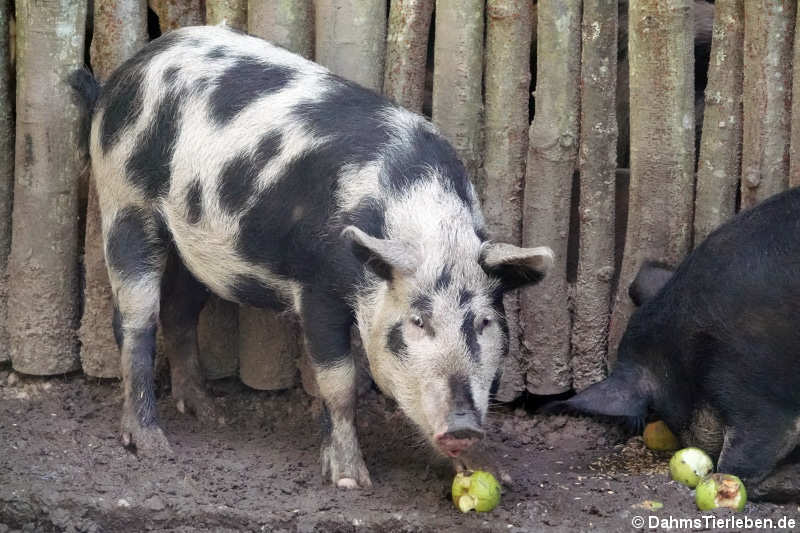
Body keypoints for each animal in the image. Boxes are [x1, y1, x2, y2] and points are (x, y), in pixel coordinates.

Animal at [70, 27, 556, 488]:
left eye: (485, 322)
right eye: (417, 322)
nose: (462, 427)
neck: (434, 233)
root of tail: (120, 77)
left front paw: (494, 475)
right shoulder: (316, 286)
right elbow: (339, 382)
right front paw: (349, 480)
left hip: (194, 243)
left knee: (178, 312)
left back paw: (211, 414)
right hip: (123, 197)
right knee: (135, 321)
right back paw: (153, 445)